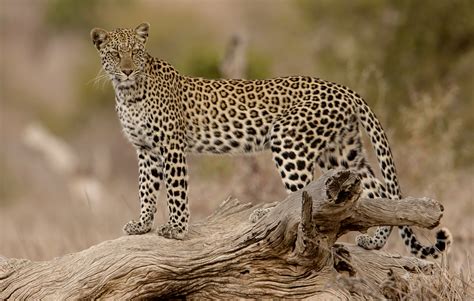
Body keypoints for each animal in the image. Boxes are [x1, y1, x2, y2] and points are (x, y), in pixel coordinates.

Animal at [90, 23, 452, 258]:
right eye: (114, 54)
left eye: (136, 53)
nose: (126, 70)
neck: (128, 92)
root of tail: (344, 88)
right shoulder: (146, 150)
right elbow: (146, 189)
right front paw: (141, 225)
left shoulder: (171, 146)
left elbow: (176, 191)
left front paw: (176, 229)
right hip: (341, 153)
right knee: (375, 190)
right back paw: (375, 241)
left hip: (290, 141)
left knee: (306, 197)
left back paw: (266, 214)